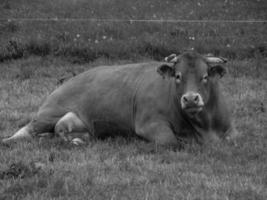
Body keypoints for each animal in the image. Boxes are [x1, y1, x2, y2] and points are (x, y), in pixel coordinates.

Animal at [1, 50, 239, 146]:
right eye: (178, 76)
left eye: (205, 76)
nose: (190, 99)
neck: (204, 127)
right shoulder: (150, 124)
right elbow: (172, 142)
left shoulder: (230, 132)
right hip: (48, 115)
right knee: (25, 131)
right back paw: (8, 141)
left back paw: (75, 140)